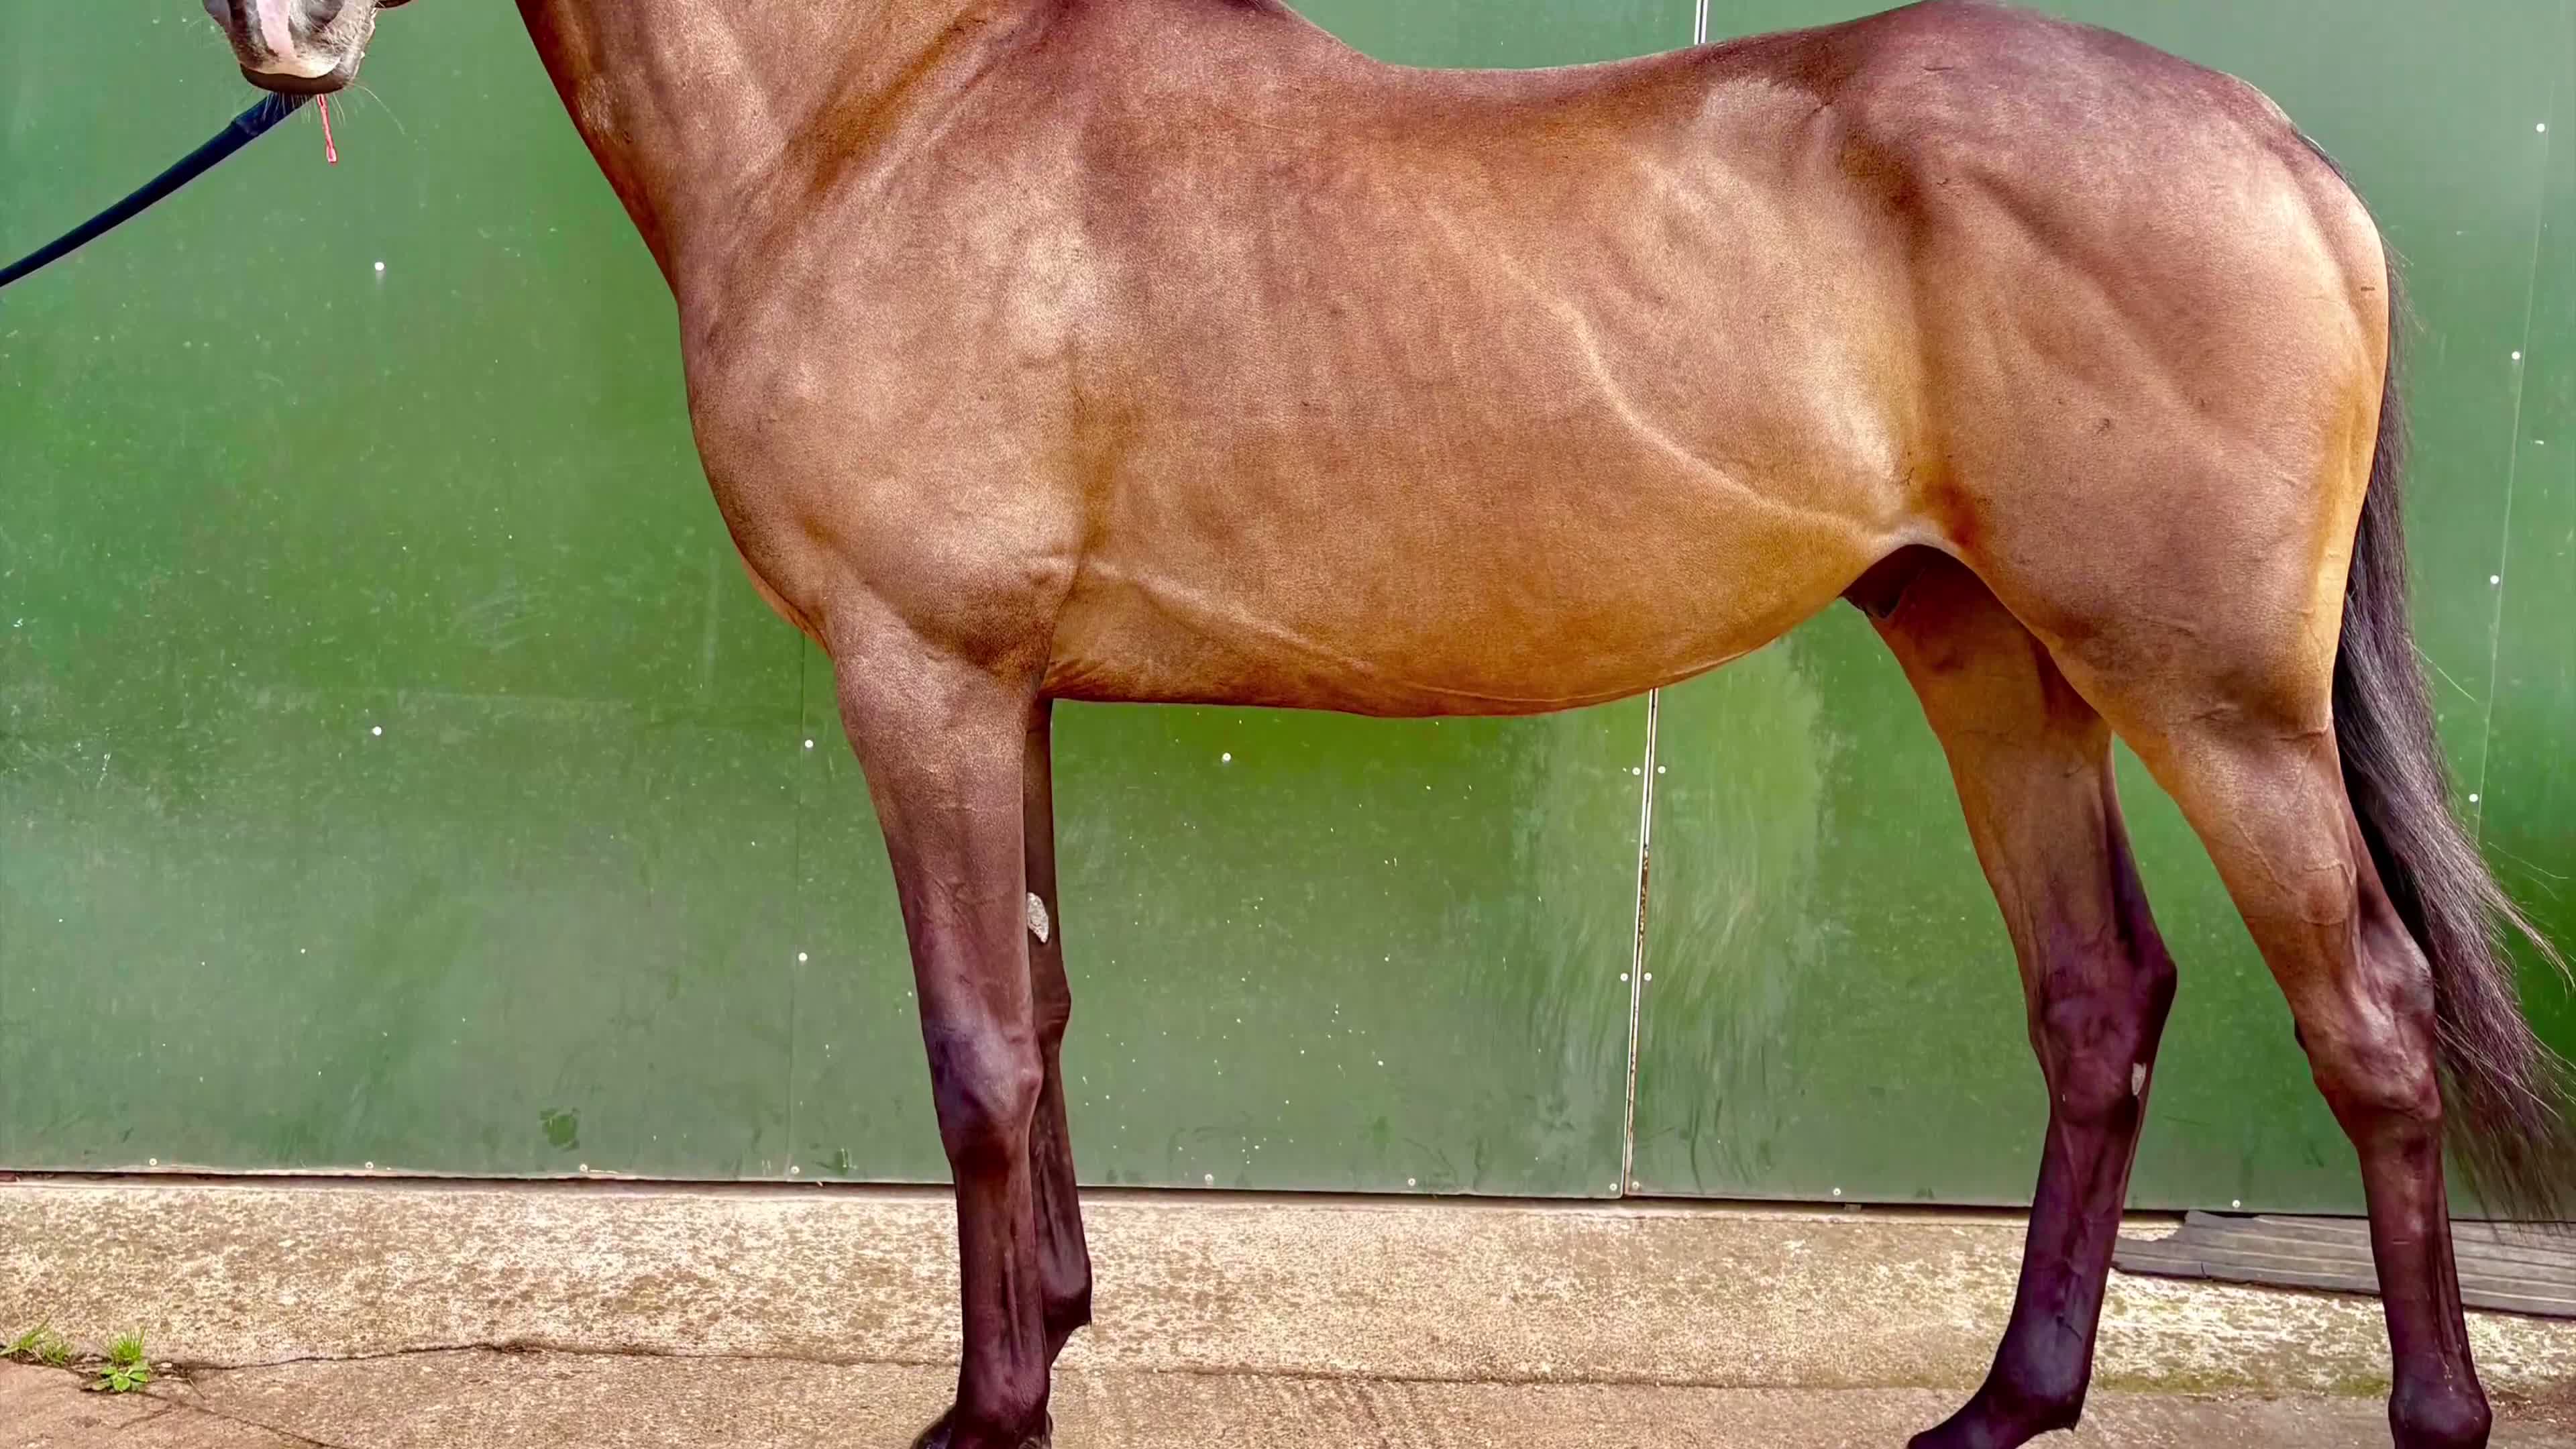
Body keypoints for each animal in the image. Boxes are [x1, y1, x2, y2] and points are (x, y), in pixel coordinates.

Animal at [196, 1, 2572, 1445]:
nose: (272, 29)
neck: (887, 114)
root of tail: (2275, 148)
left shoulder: (919, 676)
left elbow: (972, 1057)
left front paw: (989, 1404)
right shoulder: (1006, 692)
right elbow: (1043, 1019)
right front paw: (1062, 1321)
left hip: (2209, 700)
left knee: (2362, 1017)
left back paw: (2427, 1411)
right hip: (1985, 652)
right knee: (2098, 999)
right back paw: (2006, 1401)